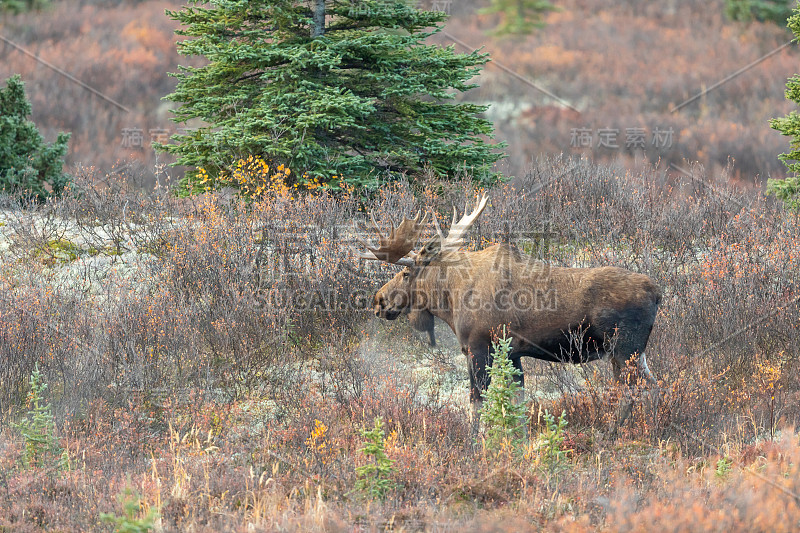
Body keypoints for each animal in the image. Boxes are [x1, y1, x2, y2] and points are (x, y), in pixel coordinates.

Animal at [354, 193, 660, 426]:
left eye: (406, 273)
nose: (379, 301)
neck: (450, 298)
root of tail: (657, 293)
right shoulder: (513, 353)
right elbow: (516, 404)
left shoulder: (478, 346)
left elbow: (476, 402)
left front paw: (475, 443)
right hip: (634, 353)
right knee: (653, 385)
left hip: (625, 349)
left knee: (633, 391)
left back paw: (614, 430)